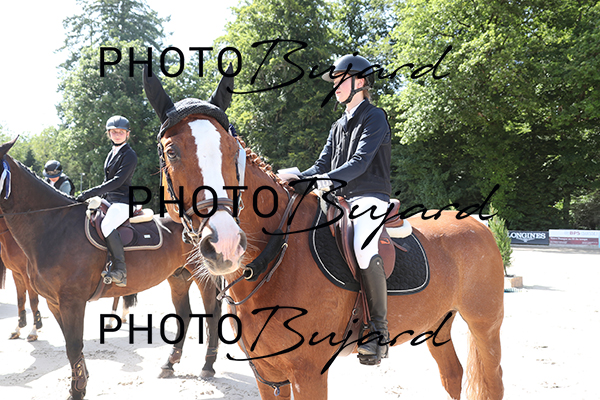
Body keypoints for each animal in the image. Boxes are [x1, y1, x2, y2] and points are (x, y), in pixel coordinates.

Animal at [0, 140, 222, 400]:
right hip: (178, 277)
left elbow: (73, 345)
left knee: (212, 313)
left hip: (202, 276)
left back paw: (208, 365)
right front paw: (80, 383)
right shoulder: (54, 302)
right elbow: (70, 344)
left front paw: (77, 391)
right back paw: (169, 364)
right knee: (184, 315)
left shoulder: (72, 302)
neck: (54, 226)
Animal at [143, 70, 505, 400]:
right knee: (453, 376)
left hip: (485, 325)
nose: (225, 244)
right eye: (171, 152)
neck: (277, 254)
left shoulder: (308, 372)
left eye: (233, 151)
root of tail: (478, 224)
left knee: (492, 383)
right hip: (437, 324)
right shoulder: (267, 373)